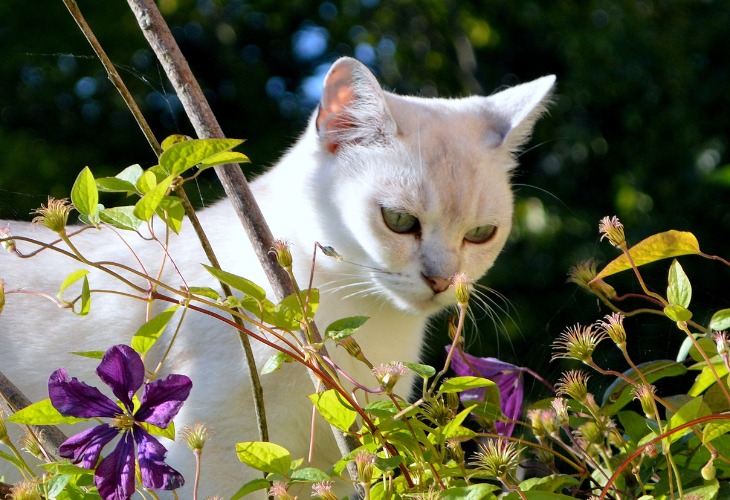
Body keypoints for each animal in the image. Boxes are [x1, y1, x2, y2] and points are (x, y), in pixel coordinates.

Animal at [0, 57, 552, 496]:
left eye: (480, 234)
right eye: (399, 220)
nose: (442, 279)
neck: (363, 317)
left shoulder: (339, 462)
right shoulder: (217, 455)